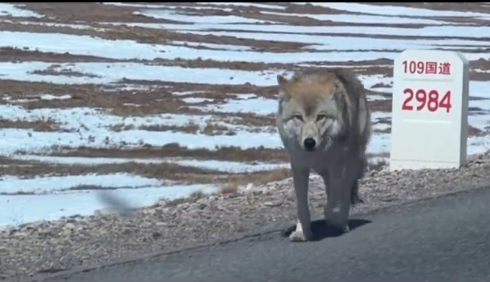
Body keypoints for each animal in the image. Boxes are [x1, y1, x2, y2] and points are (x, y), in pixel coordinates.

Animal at [276, 68, 372, 242]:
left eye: (320, 117)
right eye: (298, 117)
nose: (309, 142)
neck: (318, 153)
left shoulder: (338, 165)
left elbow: (336, 198)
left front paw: (333, 218)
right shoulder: (299, 166)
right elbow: (302, 205)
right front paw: (302, 233)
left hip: (352, 162)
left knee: (345, 191)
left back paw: (341, 223)